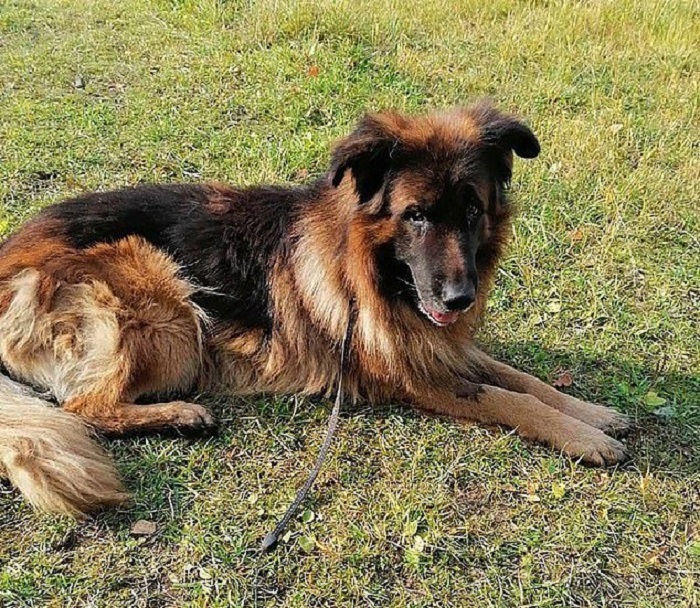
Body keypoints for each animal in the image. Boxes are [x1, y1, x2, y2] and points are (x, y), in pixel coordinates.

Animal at [0, 101, 636, 516]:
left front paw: (592, 413)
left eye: (473, 211)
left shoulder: (435, 343)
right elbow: (508, 398)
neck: (371, 273)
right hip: (167, 302)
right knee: (83, 405)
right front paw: (584, 438)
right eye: (416, 215)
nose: (460, 298)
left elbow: (521, 377)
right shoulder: (414, 374)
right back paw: (181, 415)